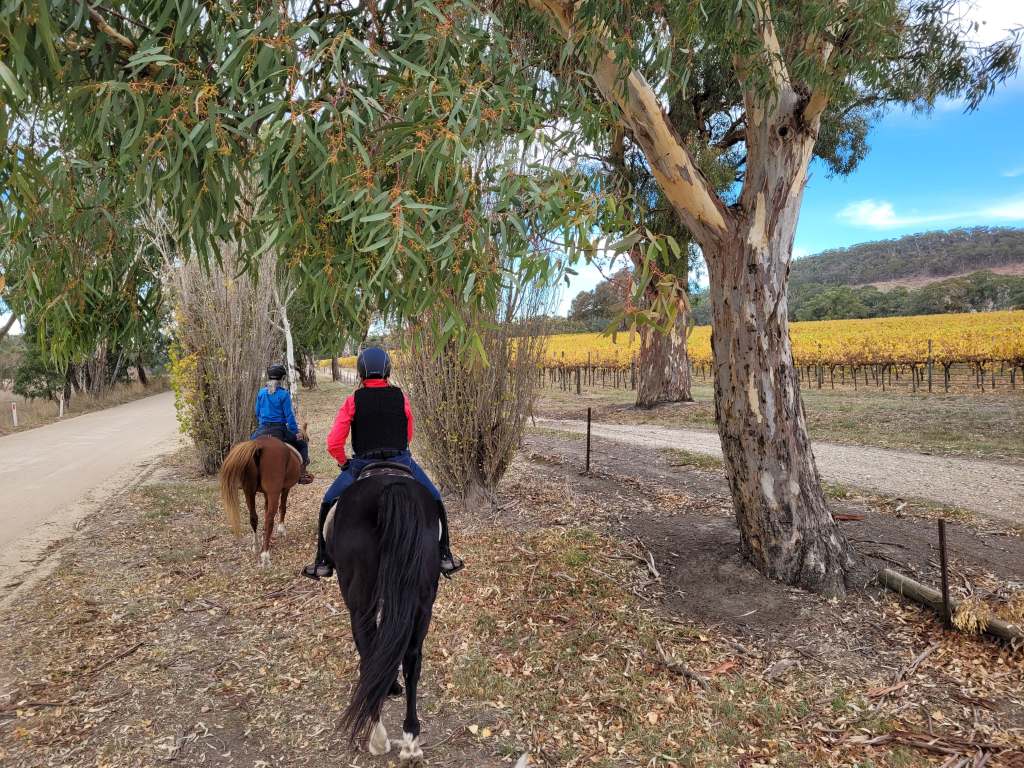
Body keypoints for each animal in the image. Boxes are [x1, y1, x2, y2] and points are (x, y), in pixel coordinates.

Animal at [219, 423, 307, 566]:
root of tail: (258, 446)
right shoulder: (285, 488)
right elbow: (283, 507)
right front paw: (281, 530)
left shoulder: (266, 493)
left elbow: (265, 510)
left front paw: (265, 536)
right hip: (273, 492)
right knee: (269, 518)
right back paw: (265, 554)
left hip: (248, 491)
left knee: (253, 517)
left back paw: (256, 545)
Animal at [323, 465, 440, 765]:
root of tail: (390, 489)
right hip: (423, 603)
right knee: (412, 659)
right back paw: (410, 740)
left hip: (360, 605)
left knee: (368, 656)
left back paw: (377, 735)